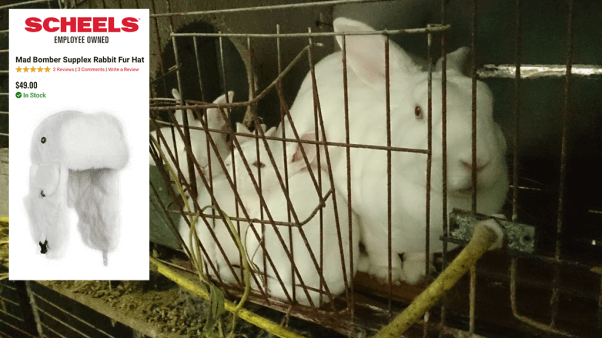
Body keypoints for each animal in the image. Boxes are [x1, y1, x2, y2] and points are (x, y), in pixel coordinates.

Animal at [282, 17, 506, 284]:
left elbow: (419, 254)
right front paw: (388, 274)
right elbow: (381, 250)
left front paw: (418, 273)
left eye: (490, 108)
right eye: (419, 111)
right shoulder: (370, 224)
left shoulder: (426, 242)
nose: (476, 161)